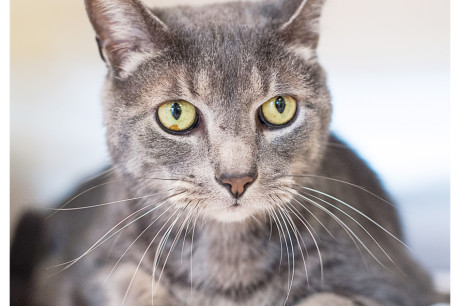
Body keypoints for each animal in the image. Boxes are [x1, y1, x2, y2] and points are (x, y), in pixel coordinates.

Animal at [9, 0, 438, 304]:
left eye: (279, 108)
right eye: (176, 113)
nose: (237, 179)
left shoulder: (392, 280)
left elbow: (326, 299)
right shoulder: (91, 272)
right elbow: (132, 285)